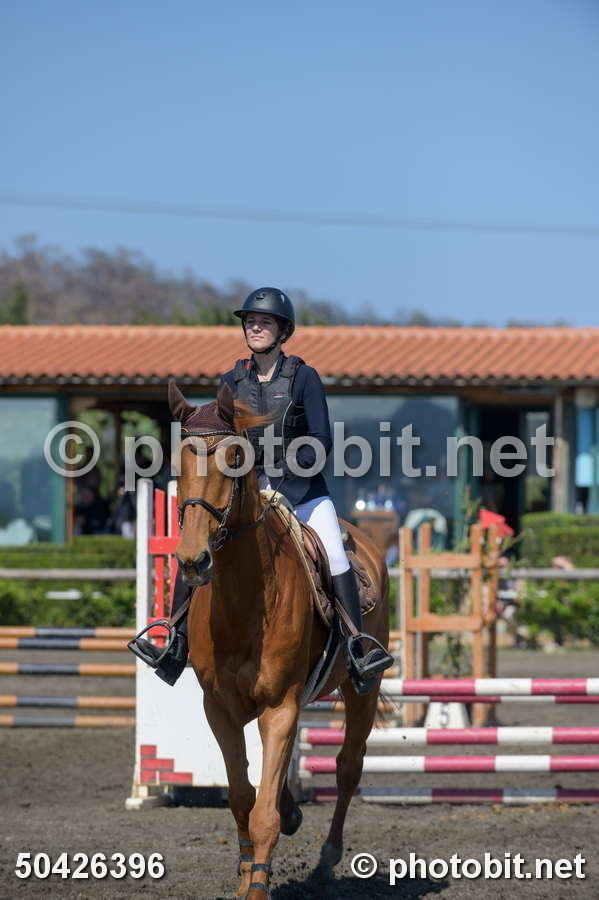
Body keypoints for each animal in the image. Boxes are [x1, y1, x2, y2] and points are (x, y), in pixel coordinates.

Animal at [169, 379, 390, 899]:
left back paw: (327, 857)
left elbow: (263, 812)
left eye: (234, 458)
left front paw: (258, 885)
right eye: (178, 462)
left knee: (348, 766)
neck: (243, 603)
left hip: (361, 689)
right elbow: (241, 797)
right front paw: (246, 873)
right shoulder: (220, 709)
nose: (193, 561)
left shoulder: (279, 707)